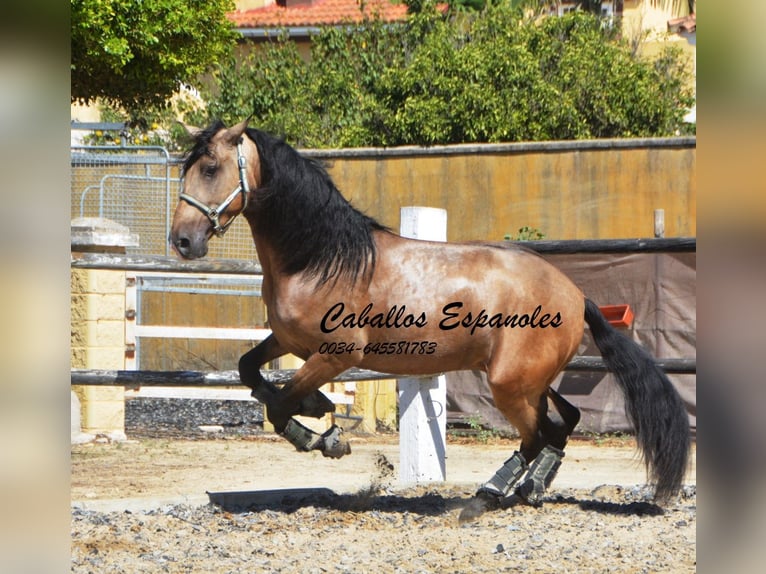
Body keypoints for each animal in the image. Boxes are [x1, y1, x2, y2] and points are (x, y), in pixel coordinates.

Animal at [171, 118, 692, 520]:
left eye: (211, 168)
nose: (182, 241)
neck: (321, 258)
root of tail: (576, 293)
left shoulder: (337, 354)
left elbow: (280, 404)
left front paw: (326, 437)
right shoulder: (289, 342)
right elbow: (250, 371)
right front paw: (318, 408)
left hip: (509, 383)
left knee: (539, 432)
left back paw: (487, 496)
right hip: (531, 380)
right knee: (565, 421)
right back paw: (530, 488)